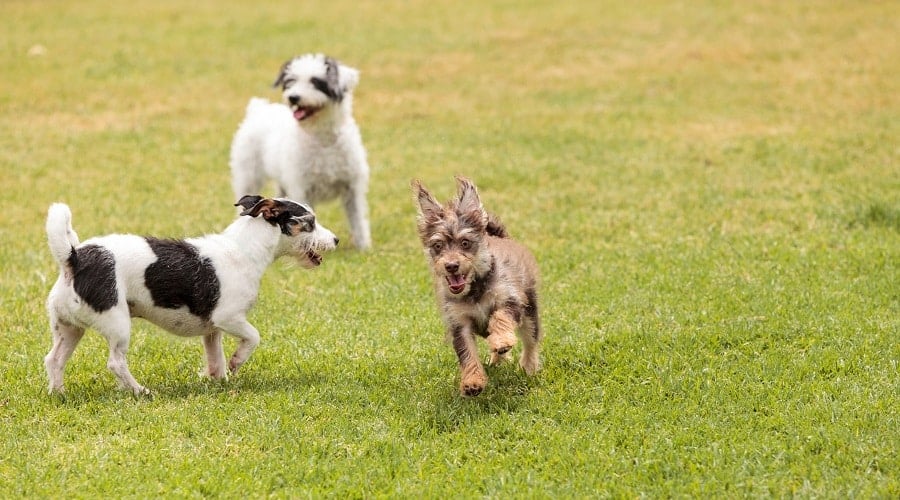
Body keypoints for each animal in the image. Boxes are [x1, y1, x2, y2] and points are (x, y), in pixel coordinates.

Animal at [43, 195, 338, 394]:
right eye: (310, 223)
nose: (336, 240)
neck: (244, 248)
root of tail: (73, 258)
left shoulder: (213, 330)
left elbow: (215, 358)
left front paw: (218, 380)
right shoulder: (229, 318)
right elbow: (254, 337)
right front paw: (237, 362)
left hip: (69, 328)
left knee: (54, 359)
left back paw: (59, 393)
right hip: (117, 323)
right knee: (116, 363)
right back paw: (140, 391)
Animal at [232, 53, 376, 249]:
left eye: (316, 81)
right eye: (291, 81)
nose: (293, 97)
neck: (322, 140)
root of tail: (259, 109)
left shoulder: (353, 188)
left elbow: (358, 219)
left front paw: (364, 247)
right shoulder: (302, 188)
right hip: (248, 177)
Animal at [414, 176, 540, 394]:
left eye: (465, 243)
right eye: (438, 246)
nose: (451, 266)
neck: (474, 289)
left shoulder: (511, 299)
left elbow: (500, 317)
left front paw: (502, 339)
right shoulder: (459, 324)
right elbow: (467, 354)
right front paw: (473, 381)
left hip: (530, 310)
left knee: (530, 340)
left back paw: (528, 367)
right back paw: (498, 359)